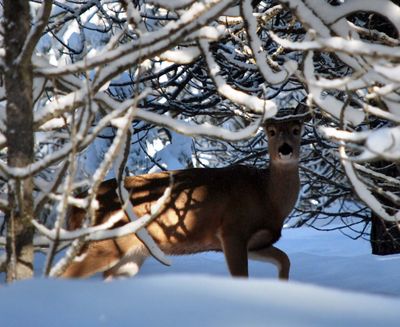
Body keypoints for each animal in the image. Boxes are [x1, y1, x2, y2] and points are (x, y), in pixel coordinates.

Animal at [61, 116, 304, 280]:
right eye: (271, 131)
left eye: (297, 129)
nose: (285, 149)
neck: (266, 195)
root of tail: (76, 206)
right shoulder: (232, 230)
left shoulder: (255, 242)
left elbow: (285, 259)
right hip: (104, 241)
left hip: (131, 255)